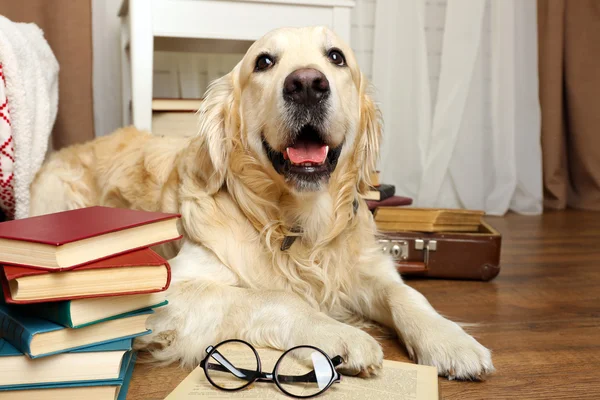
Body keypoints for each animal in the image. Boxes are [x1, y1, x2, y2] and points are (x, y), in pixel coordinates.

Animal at [29, 26, 492, 380]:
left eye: (336, 57)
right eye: (264, 62)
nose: (307, 84)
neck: (296, 224)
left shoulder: (367, 268)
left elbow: (406, 295)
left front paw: (452, 340)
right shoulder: (167, 289)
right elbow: (276, 297)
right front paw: (341, 336)